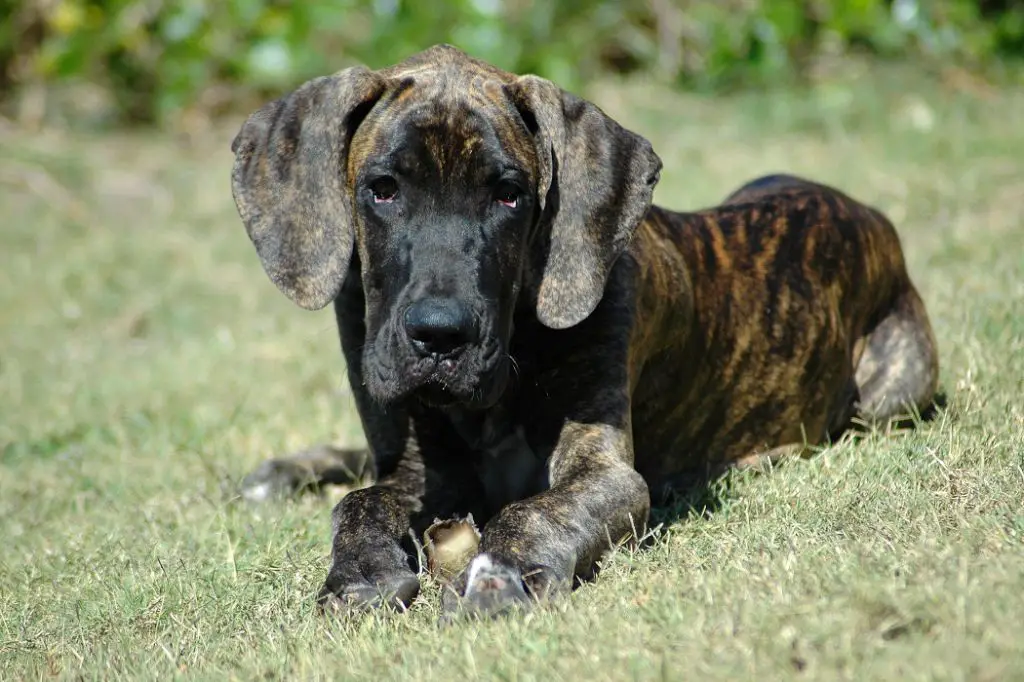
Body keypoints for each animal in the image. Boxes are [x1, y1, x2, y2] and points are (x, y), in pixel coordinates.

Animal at [228, 45, 937, 614]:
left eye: (509, 194)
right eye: (382, 189)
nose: (440, 335)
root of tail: (866, 212)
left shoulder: (604, 471)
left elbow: (538, 508)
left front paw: (498, 571)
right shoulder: (417, 469)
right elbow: (361, 501)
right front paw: (358, 572)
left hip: (896, 390)